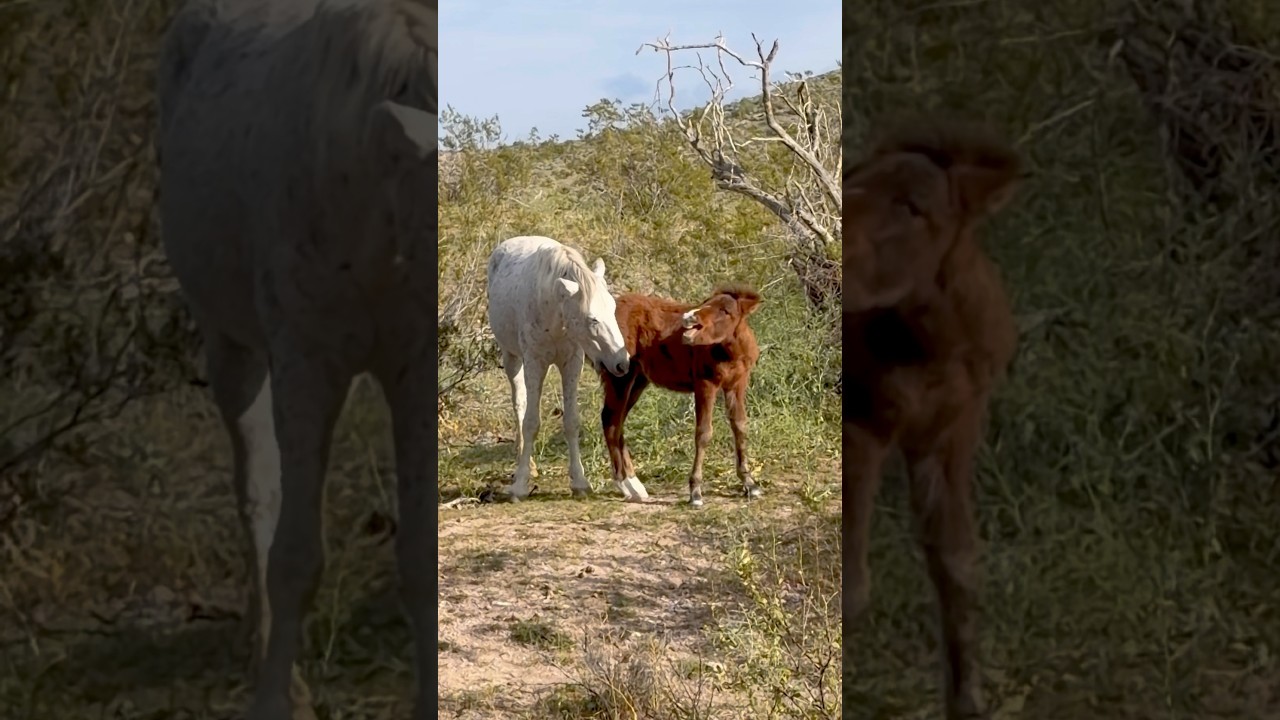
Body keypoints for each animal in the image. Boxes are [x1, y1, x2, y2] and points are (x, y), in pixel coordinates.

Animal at [155, 1, 436, 718]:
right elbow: (294, 559)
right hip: (235, 351)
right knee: (257, 493)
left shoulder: (412, 373)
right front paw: (276, 700)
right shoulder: (306, 364)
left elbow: (420, 557)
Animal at [485, 235, 636, 501]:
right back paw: (525, 462)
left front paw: (580, 482)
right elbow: (531, 422)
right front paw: (520, 485)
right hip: (512, 358)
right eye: (592, 319)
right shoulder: (534, 362)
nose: (622, 363)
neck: (553, 310)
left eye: (613, 309)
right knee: (519, 403)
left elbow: (571, 421)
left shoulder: (572, 363)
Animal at [600, 284, 764, 506]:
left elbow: (739, 426)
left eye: (725, 311)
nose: (690, 317)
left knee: (617, 422)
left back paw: (635, 484)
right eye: (706, 303)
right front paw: (695, 492)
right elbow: (703, 433)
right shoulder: (705, 384)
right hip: (619, 375)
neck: (730, 352)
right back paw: (625, 485)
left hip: (638, 379)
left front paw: (749, 483)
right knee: (610, 421)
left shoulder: (737, 384)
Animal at [842, 119, 1022, 720]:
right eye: (853, 179)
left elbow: (958, 563)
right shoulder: (865, 424)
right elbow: (854, 582)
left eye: (913, 205)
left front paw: (968, 700)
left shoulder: (951, 429)